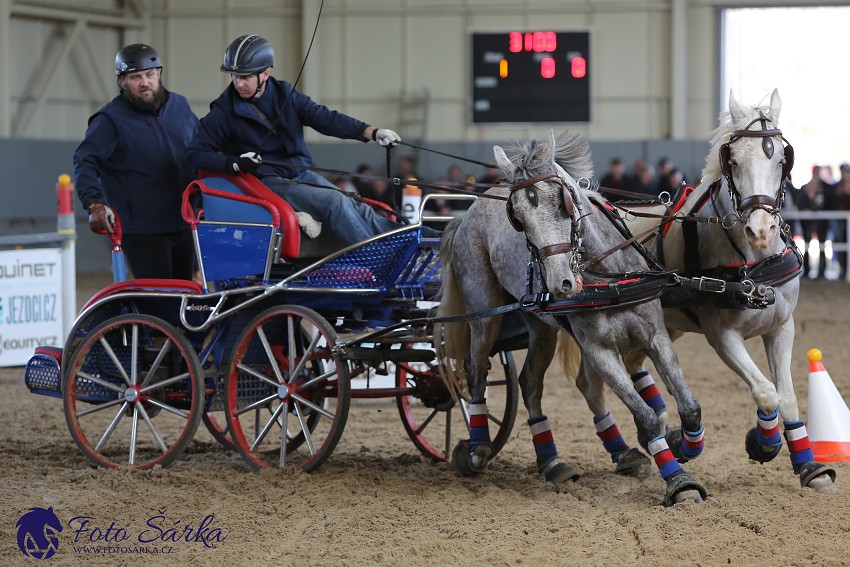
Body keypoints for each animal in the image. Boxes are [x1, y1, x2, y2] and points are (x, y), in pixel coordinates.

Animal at [434, 130, 704, 506]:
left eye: (562, 201)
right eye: (518, 218)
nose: (559, 282)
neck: (610, 276)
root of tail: (468, 212)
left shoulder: (656, 337)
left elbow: (690, 406)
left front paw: (683, 445)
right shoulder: (599, 351)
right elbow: (646, 416)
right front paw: (679, 481)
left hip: (540, 325)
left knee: (532, 382)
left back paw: (560, 460)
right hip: (484, 312)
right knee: (477, 372)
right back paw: (478, 448)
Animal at [556, 89, 836, 492]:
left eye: (783, 158)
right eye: (732, 160)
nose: (761, 230)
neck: (753, 265)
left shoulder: (783, 326)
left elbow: (787, 397)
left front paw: (810, 467)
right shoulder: (722, 335)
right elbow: (765, 392)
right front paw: (762, 444)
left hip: (664, 323)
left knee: (635, 364)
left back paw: (663, 427)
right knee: (592, 386)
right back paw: (636, 449)